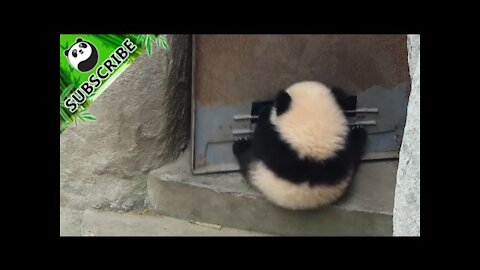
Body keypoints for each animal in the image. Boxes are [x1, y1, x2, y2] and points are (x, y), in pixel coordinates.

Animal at [232, 80, 368, 211]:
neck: (313, 132)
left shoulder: (274, 143)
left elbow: (262, 134)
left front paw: (264, 112)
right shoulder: (342, 149)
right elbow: (354, 151)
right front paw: (358, 131)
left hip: (258, 172)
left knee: (246, 160)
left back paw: (240, 144)